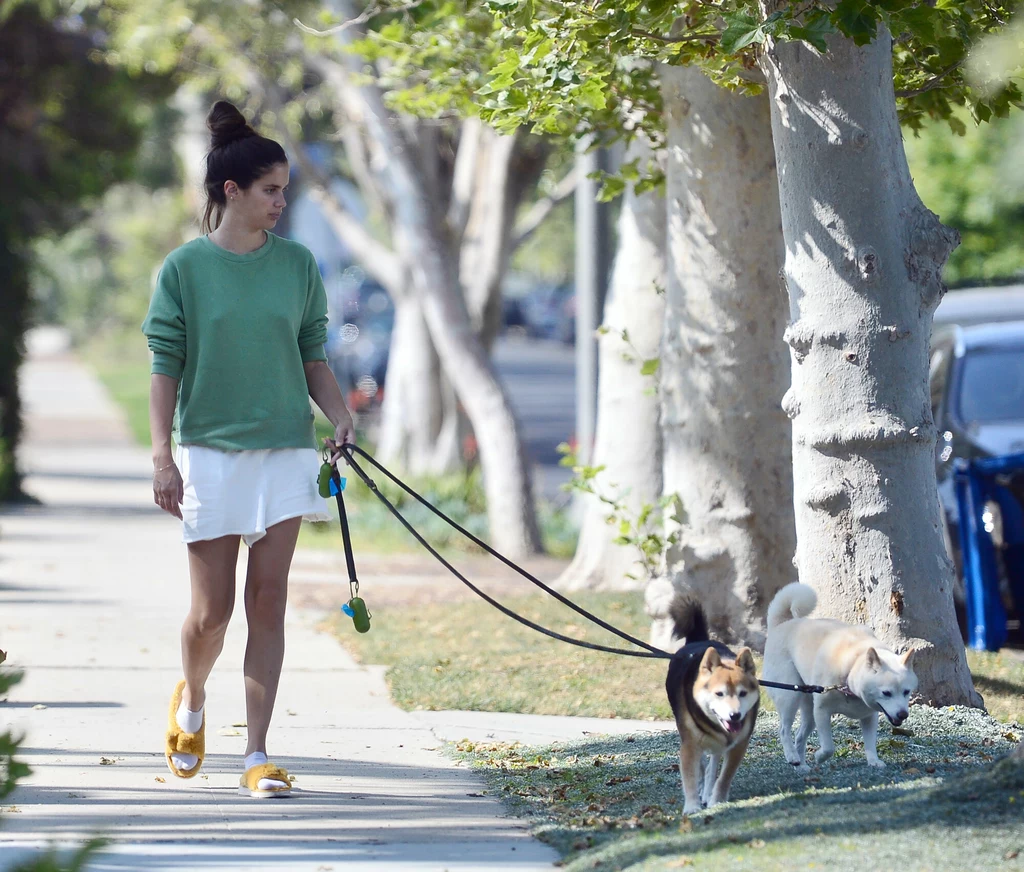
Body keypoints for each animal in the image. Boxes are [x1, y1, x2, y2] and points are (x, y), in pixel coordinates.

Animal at [663, 597, 761, 814]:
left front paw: (717, 800)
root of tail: (699, 639)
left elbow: (724, 777)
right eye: (719, 694)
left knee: (713, 763)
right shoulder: (690, 744)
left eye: (743, 693)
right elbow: (690, 775)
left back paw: (708, 791)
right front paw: (692, 806)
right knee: (702, 765)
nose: (735, 715)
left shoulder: (738, 745)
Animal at [761, 585, 921, 769]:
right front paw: (820, 756)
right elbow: (829, 747)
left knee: (799, 736)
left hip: (809, 711)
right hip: (789, 698)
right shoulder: (822, 712)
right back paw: (792, 756)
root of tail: (781, 624)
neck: (851, 670)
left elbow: (870, 743)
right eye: (886, 693)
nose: (903, 715)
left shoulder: (869, 716)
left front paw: (874, 761)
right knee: (784, 730)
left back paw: (800, 766)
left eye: (906, 692)